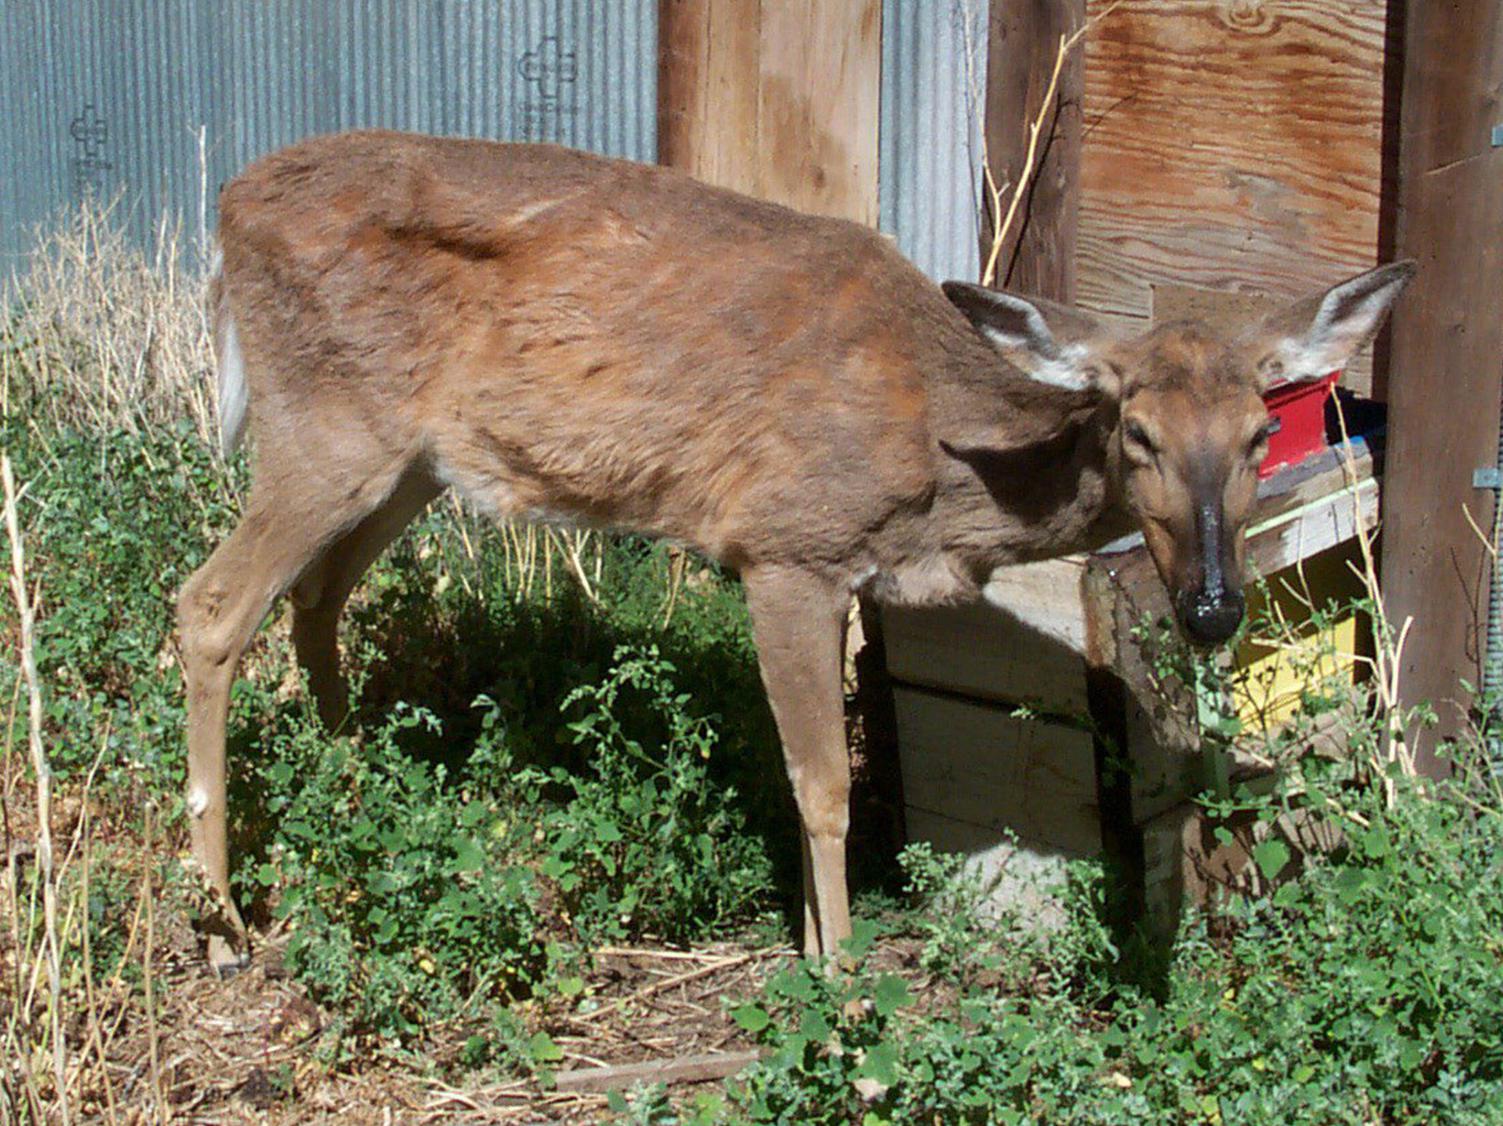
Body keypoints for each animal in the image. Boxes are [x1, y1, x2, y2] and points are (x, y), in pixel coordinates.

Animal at [181, 129, 1412, 974]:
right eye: (1137, 430)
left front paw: (823, 946)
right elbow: (822, 786)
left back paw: (358, 794)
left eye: (1257, 435)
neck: (940, 460)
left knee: (315, 600)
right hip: (325, 426)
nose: (1210, 607)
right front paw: (841, 972)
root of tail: (226, 210)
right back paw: (229, 921)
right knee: (209, 607)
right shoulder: (782, 546)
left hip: (410, 460)